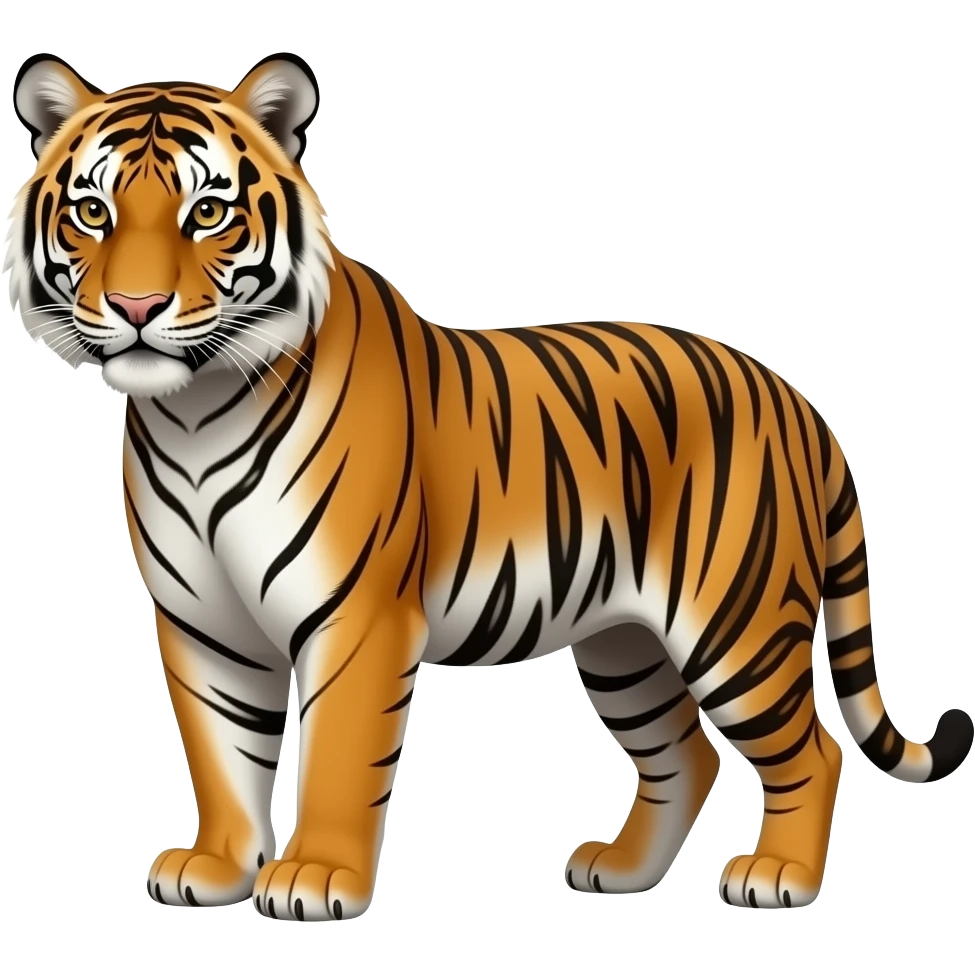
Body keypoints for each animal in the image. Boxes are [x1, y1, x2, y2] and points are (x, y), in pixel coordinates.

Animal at [5, 51, 972, 922]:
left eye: (207, 212)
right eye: (92, 211)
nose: (136, 309)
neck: (195, 411)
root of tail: (795, 398)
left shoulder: (356, 615)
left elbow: (335, 754)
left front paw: (315, 877)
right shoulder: (204, 623)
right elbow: (221, 754)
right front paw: (214, 867)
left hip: (737, 623)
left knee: (813, 750)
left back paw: (778, 877)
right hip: (624, 642)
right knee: (684, 754)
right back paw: (620, 870)